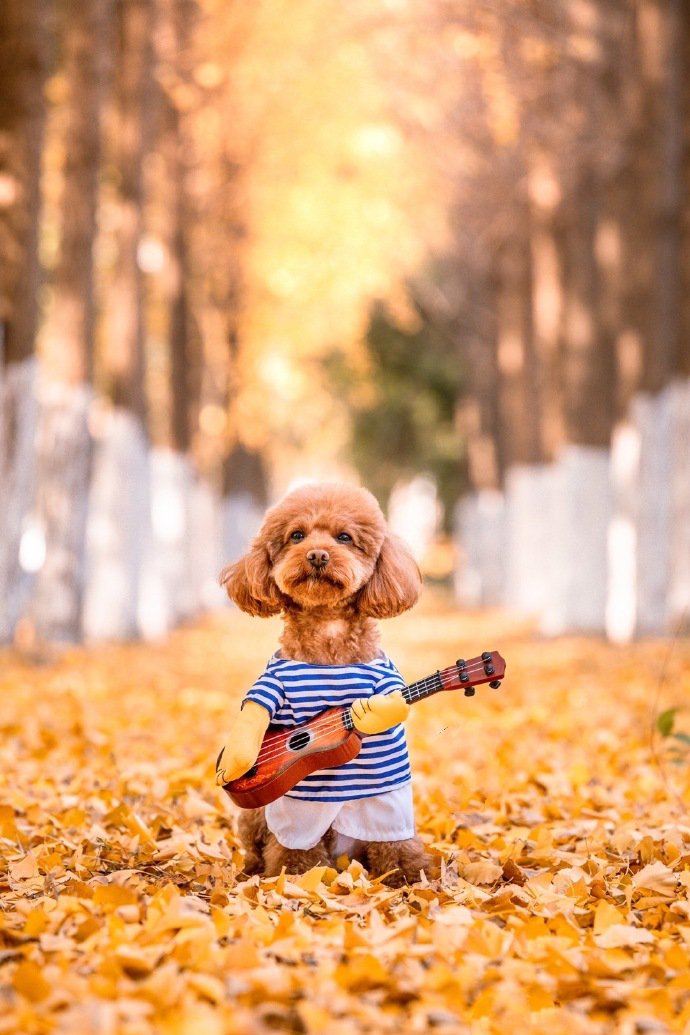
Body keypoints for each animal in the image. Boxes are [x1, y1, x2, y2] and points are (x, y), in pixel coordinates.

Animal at [216, 480, 434, 885]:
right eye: (296, 535)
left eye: (344, 537)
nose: (317, 554)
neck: (327, 626)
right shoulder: (272, 681)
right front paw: (297, 878)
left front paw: (409, 874)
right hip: (259, 813)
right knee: (276, 842)